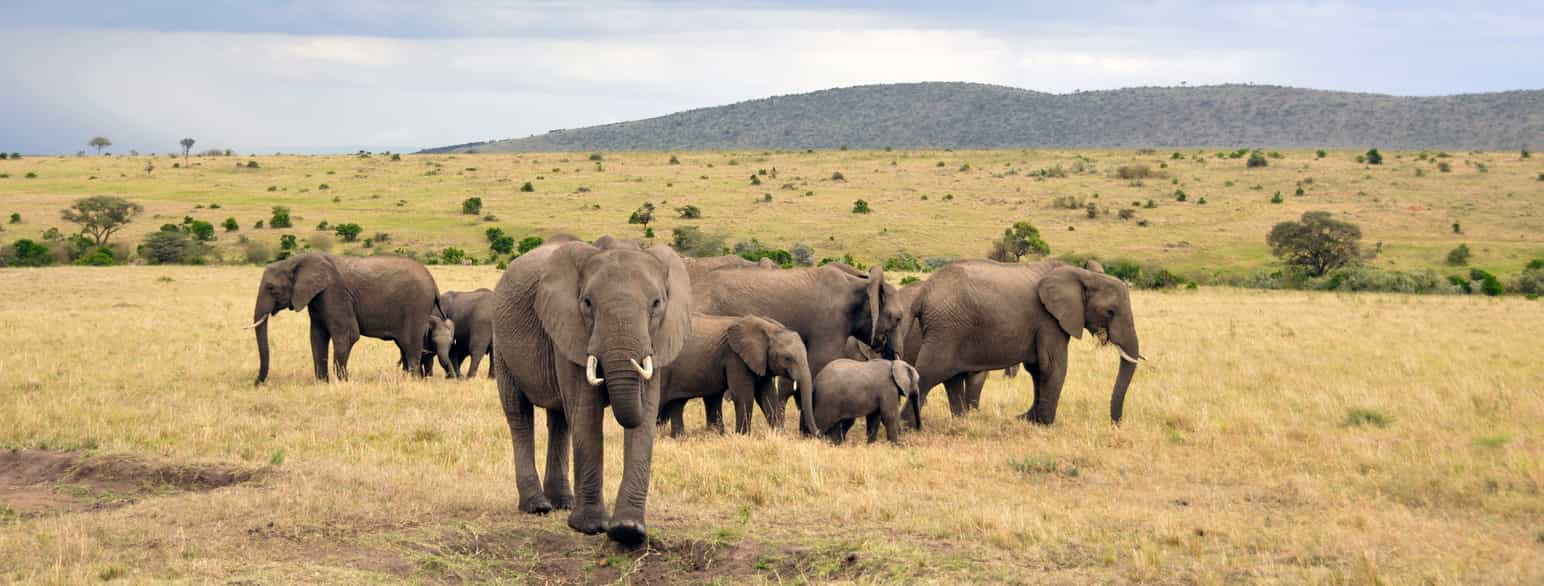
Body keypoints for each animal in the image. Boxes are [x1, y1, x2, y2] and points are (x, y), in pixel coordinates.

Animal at [247, 252, 441, 383]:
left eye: (271, 288)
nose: (257, 383)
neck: (296, 261)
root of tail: (433, 282)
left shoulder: (334, 293)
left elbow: (347, 335)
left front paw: (343, 382)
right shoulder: (318, 298)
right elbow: (317, 337)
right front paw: (322, 383)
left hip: (416, 306)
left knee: (410, 345)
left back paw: (413, 381)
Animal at [490, 237, 691, 545]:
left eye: (657, 303)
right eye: (587, 303)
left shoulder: (658, 339)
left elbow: (643, 411)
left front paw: (628, 531)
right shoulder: (569, 328)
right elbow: (586, 412)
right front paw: (591, 527)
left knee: (559, 419)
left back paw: (563, 503)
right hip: (501, 344)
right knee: (519, 414)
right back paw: (537, 506)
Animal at [654, 316, 815, 434]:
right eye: (787, 358)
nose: (817, 435)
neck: (769, 329)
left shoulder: (759, 361)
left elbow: (767, 395)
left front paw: (779, 434)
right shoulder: (735, 357)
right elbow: (743, 395)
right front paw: (742, 436)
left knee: (677, 403)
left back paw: (680, 437)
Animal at [901, 259, 1142, 428]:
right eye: (1110, 312)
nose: (1115, 423)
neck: (1084, 275)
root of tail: (923, 293)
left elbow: (1037, 369)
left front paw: (1027, 420)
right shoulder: (1049, 320)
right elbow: (1052, 366)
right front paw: (1045, 424)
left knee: (952, 379)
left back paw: (961, 421)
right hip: (946, 329)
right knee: (930, 372)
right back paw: (908, 425)